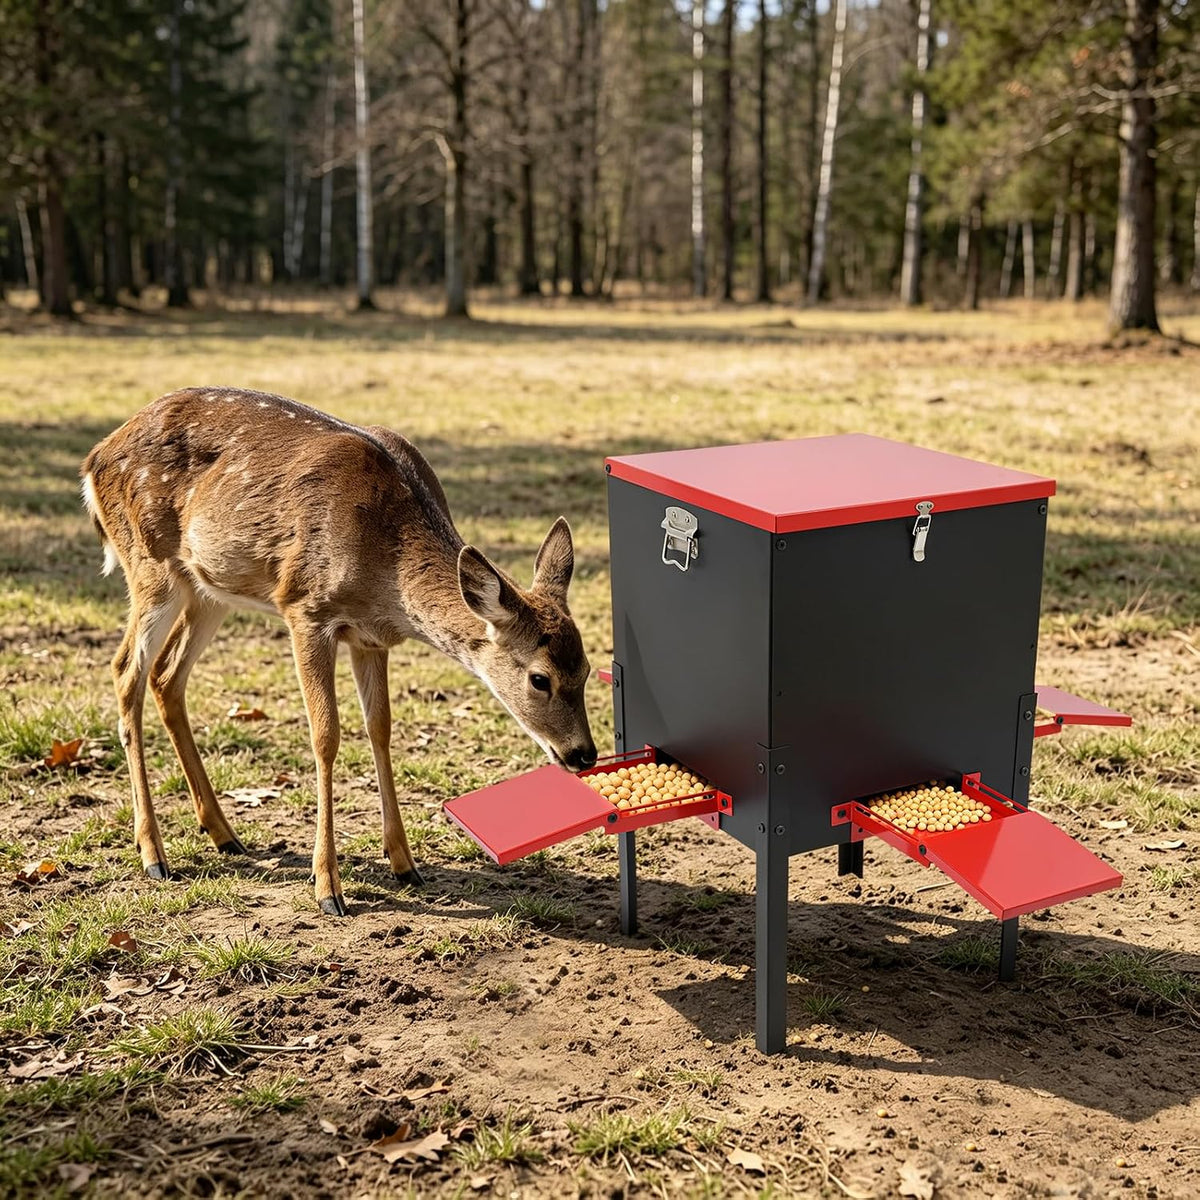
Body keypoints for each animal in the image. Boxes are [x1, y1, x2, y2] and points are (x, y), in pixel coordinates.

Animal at [81, 387, 597, 915]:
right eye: (540, 678)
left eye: (587, 669)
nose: (583, 754)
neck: (386, 572)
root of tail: (94, 457)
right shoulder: (304, 607)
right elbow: (325, 734)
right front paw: (328, 886)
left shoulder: (370, 638)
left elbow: (381, 728)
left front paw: (405, 865)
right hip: (150, 563)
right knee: (126, 670)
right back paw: (153, 854)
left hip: (208, 587)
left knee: (166, 675)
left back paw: (224, 833)